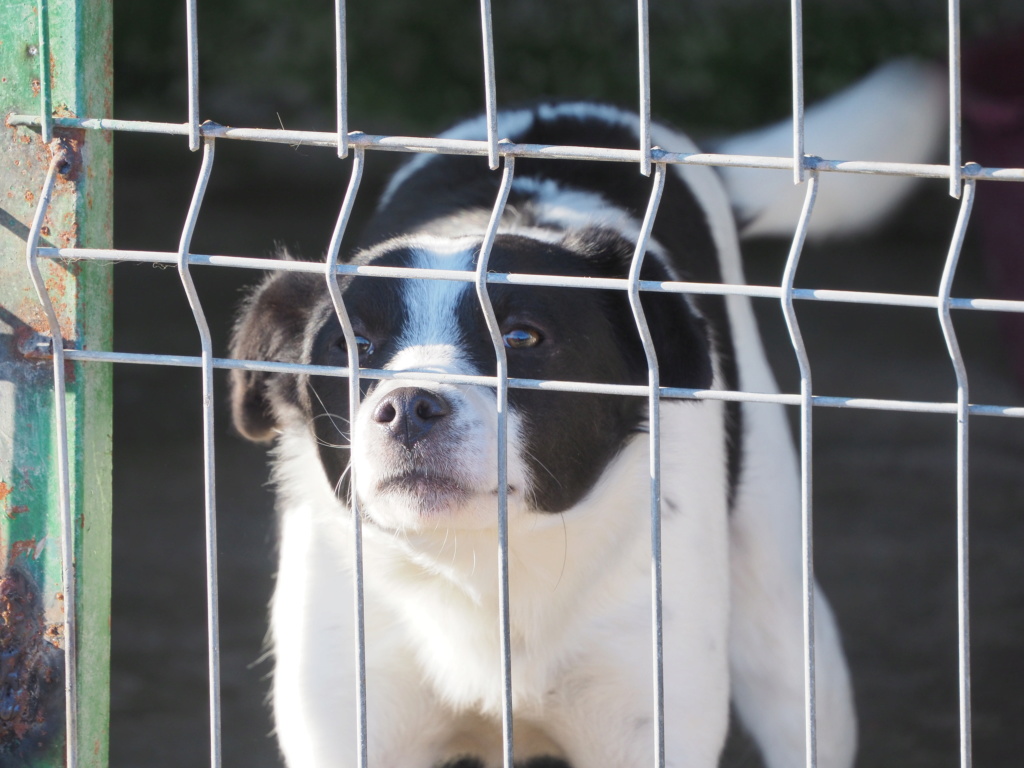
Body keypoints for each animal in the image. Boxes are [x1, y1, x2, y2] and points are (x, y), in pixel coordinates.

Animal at [230, 63, 942, 768]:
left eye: (521, 336)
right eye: (351, 344)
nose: (407, 406)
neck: (487, 570)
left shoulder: (648, 715)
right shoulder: (351, 712)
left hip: (790, 642)